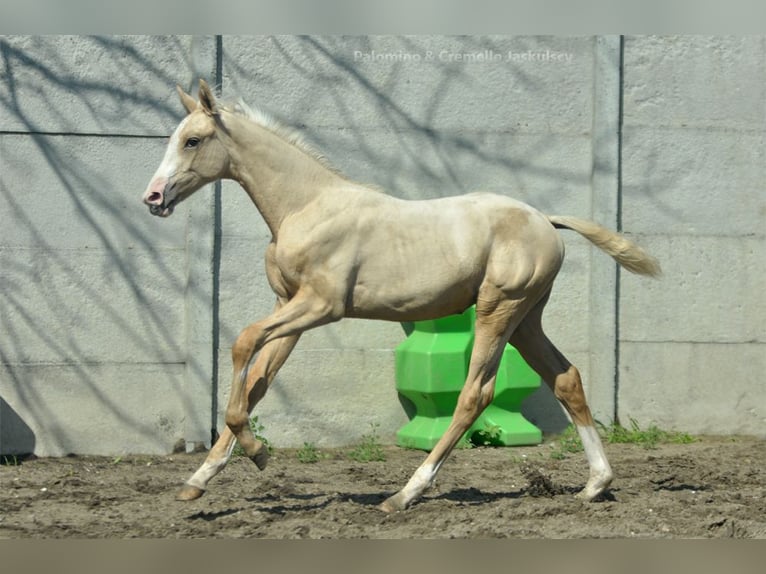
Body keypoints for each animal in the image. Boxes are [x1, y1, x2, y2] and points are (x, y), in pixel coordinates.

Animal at [142, 80, 660, 512]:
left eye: (192, 140)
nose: (153, 197)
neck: (307, 206)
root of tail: (546, 220)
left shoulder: (321, 307)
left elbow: (243, 343)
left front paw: (258, 453)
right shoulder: (287, 305)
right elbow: (257, 382)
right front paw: (199, 479)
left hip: (499, 308)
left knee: (475, 393)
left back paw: (405, 493)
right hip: (526, 319)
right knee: (566, 378)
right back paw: (595, 485)